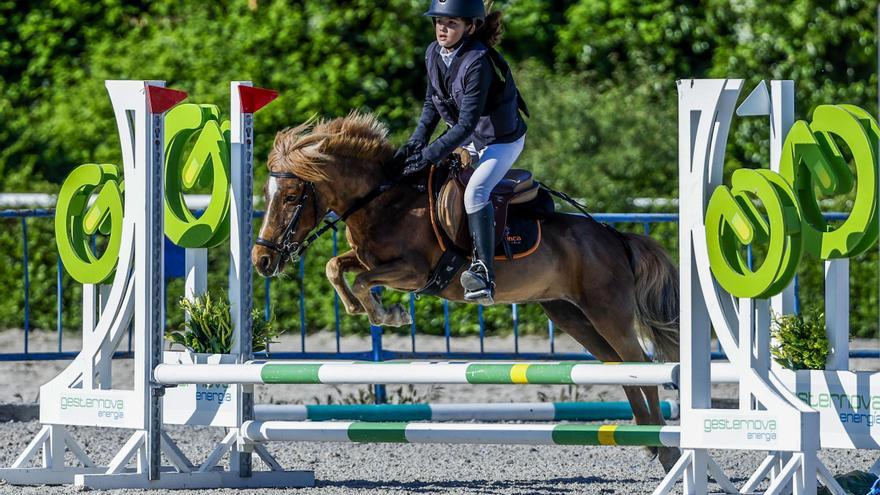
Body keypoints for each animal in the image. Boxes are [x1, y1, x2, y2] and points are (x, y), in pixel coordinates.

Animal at [253, 113, 680, 472]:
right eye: (267, 195)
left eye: (291, 197)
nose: (261, 260)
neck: (387, 202)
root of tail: (615, 238)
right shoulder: (368, 259)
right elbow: (336, 267)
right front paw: (366, 309)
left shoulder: (414, 272)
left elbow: (360, 281)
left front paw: (388, 314)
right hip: (570, 314)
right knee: (620, 366)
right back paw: (648, 439)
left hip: (607, 311)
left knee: (640, 363)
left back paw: (665, 446)